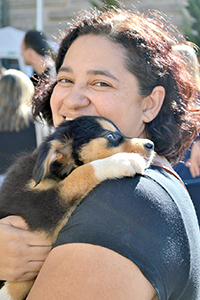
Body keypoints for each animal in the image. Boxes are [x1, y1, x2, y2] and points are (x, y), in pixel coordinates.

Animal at [0, 115, 155, 300]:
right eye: (110, 136)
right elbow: (80, 173)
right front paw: (121, 161)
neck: (54, 172)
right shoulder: (38, 207)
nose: (151, 145)